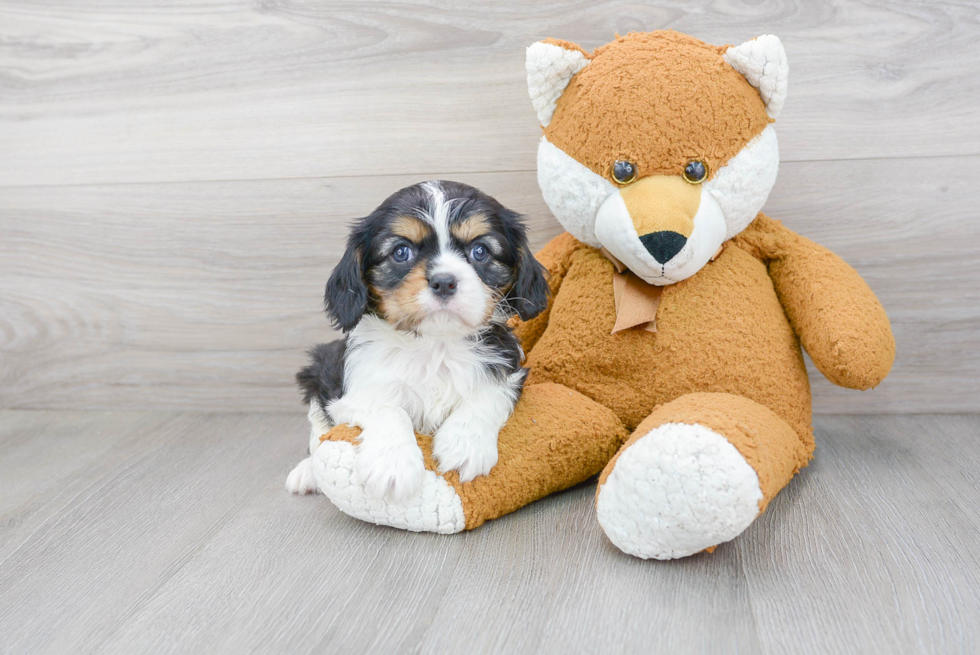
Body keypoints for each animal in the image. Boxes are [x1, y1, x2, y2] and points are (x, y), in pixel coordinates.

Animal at [286, 179, 552, 502]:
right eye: (401, 252)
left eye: (480, 251)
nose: (444, 282)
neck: (436, 345)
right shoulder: (353, 393)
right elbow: (389, 409)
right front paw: (392, 464)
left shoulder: (508, 372)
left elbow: (486, 397)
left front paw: (465, 444)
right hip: (320, 369)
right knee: (318, 435)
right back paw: (308, 472)